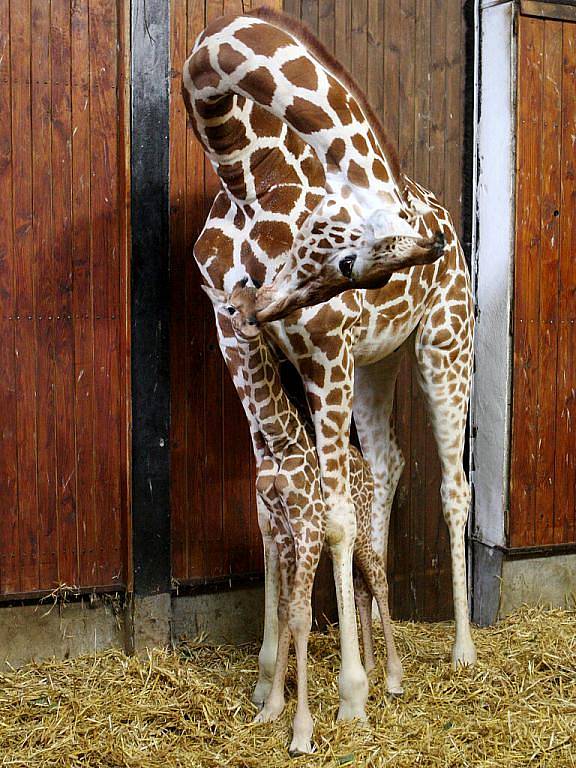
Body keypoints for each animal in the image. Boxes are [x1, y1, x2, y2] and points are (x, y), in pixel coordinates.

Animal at [205, 282, 402, 756]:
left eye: (259, 307)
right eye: (230, 307)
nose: (247, 326)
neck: (282, 440)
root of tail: (364, 466)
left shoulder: (308, 527)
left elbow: (299, 617)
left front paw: (301, 732)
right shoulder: (282, 531)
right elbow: (282, 611)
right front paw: (271, 708)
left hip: (361, 532)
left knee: (379, 580)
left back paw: (392, 678)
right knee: (361, 590)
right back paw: (370, 668)